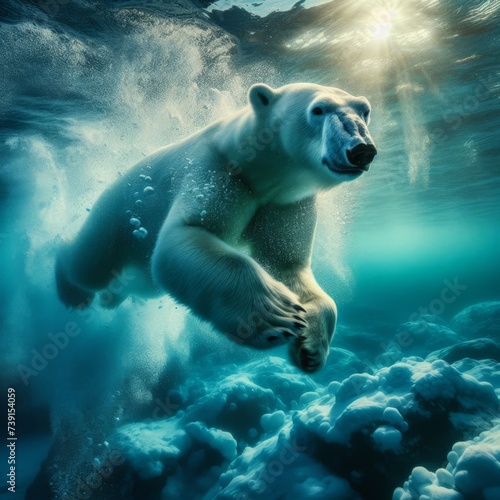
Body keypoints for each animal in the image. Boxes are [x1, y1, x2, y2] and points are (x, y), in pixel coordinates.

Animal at [55, 82, 376, 372]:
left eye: (365, 110)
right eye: (318, 109)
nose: (362, 150)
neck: (259, 170)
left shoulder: (285, 202)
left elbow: (286, 264)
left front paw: (310, 346)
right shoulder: (217, 172)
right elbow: (187, 233)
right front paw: (276, 316)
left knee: (140, 285)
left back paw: (111, 297)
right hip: (119, 217)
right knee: (89, 265)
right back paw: (71, 287)